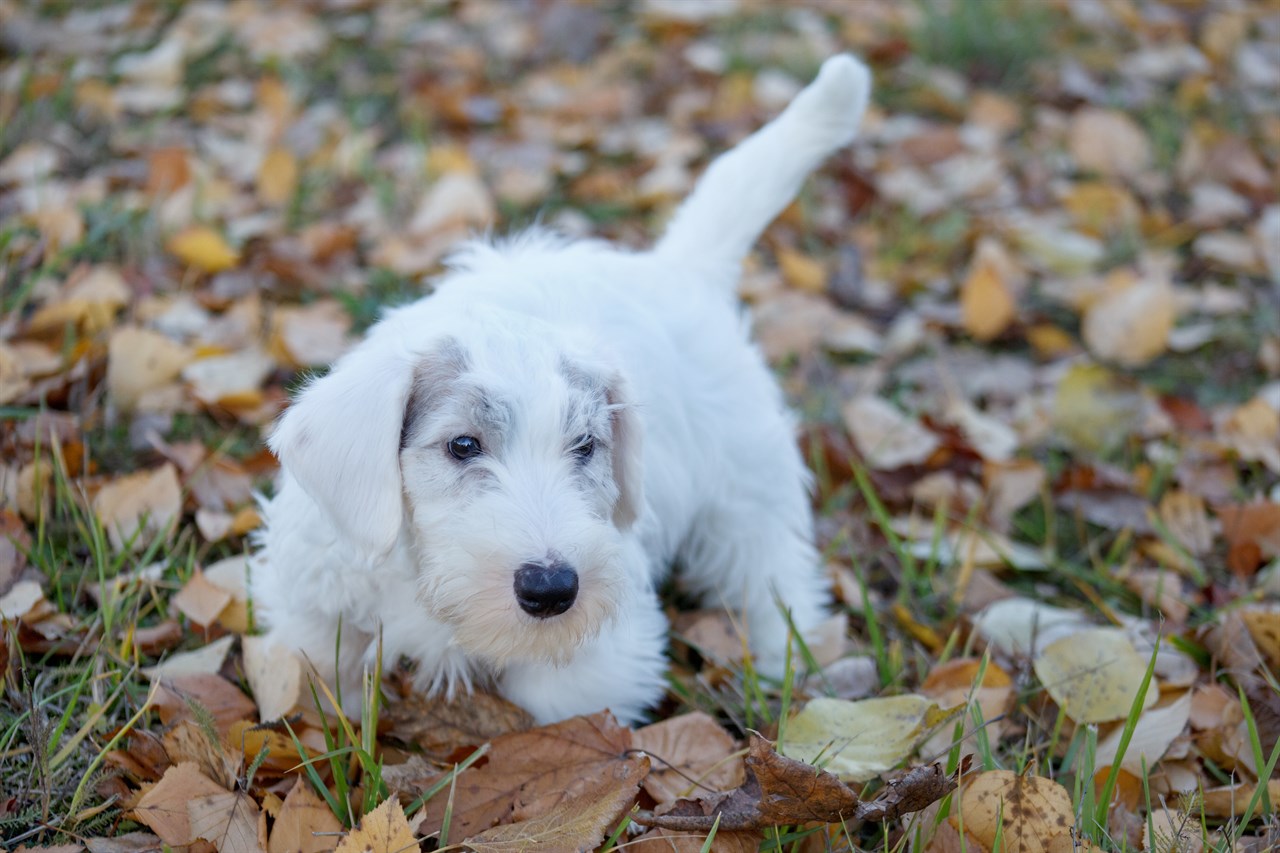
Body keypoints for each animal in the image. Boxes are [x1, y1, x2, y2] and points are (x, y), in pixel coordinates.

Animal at [252, 53, 870, 722]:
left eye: (585, 447)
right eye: (462, 446)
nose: (551, 589)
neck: (416, 576)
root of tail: (678, 269)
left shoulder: (597, 660)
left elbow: (553, 708)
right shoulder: (313, 603)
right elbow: (317, 671)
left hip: (749, 488)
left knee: (771, 573)